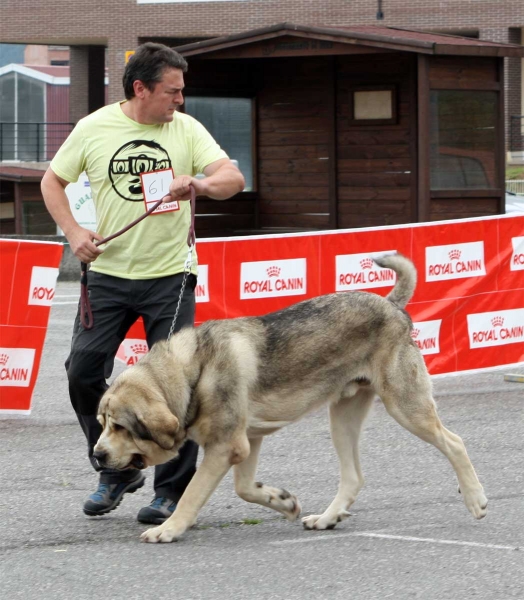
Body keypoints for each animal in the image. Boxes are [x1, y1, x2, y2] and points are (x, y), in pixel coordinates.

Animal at [93, 253, 488, 544]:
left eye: (120, 427)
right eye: (102, 424)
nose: (96, 455)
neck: (193, 372)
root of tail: (392, 306)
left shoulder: (225, 447)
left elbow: (191, 494)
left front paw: (169, 529)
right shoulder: (245, 443)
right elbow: (244, 488)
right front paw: (282, 502)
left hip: (406, 407)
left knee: (454, 442)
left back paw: (475, 498)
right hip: (342, 419)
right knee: (353, 477)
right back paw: (327, 518)